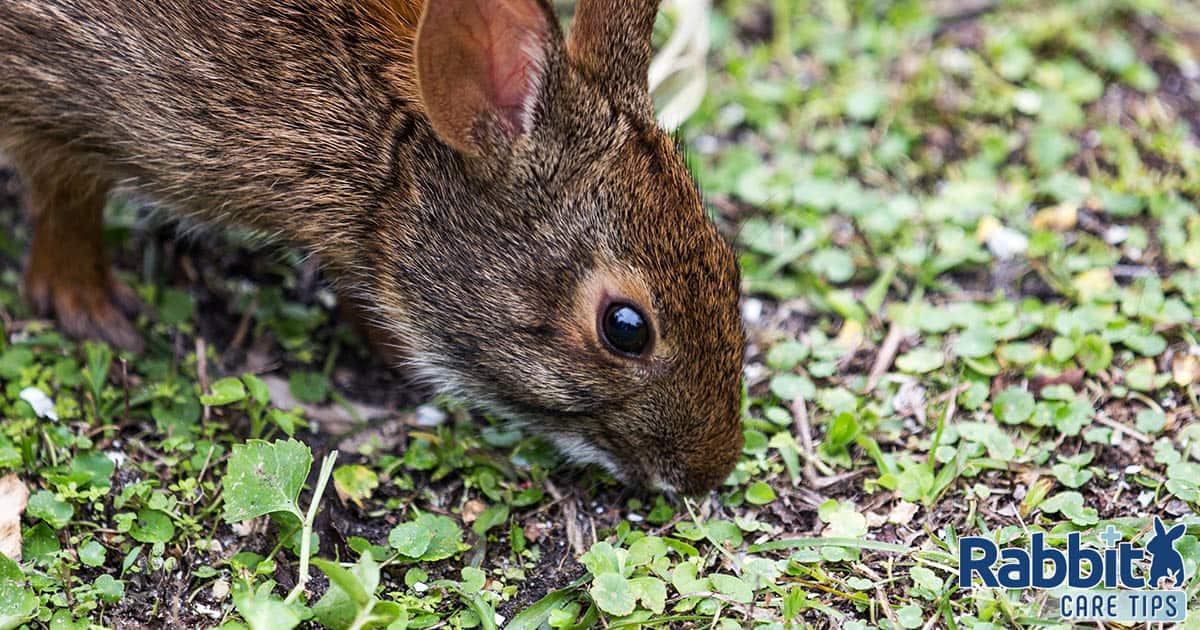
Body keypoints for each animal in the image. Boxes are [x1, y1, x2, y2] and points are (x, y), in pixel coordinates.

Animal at [0, 0, 744, 492]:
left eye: (730, 266)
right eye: (625, 328)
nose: (710, 470)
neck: (395, 152)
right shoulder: (58, 83)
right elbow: (64, 196)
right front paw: (87, 306)